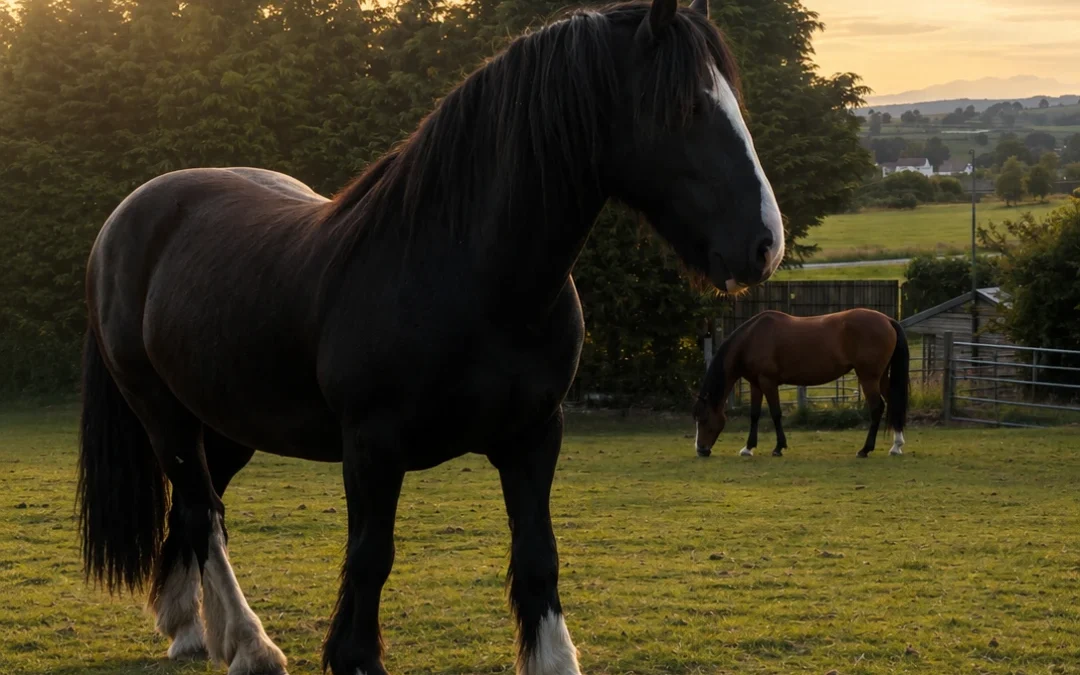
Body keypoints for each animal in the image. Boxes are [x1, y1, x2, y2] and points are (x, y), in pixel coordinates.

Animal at [76, 1, 785, 673]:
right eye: (687, 106)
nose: (764, 245)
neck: (468, 274)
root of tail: (124, 219)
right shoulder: (372, 445)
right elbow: (371, 556)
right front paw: (353, 655)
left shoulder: (534, 436)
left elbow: (538, 556)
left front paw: (552, 657)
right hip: (163, 414)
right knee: (204, 516)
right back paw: (251, 648)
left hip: (227, 423)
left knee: (196, 514)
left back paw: (194, 631)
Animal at [692, 309, 909, 459]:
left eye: (703, 418)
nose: (701, 450)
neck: (751, 338)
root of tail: (887, 320)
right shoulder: (756, 384)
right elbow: (754, 415)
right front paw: (748, 448)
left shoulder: (768, 382)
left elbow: (775, 414)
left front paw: (778, 447)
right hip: (880, 377)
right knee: (894, 403)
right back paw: (896, 446)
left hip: (868, 378)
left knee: (877, 408)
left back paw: (865, 450)